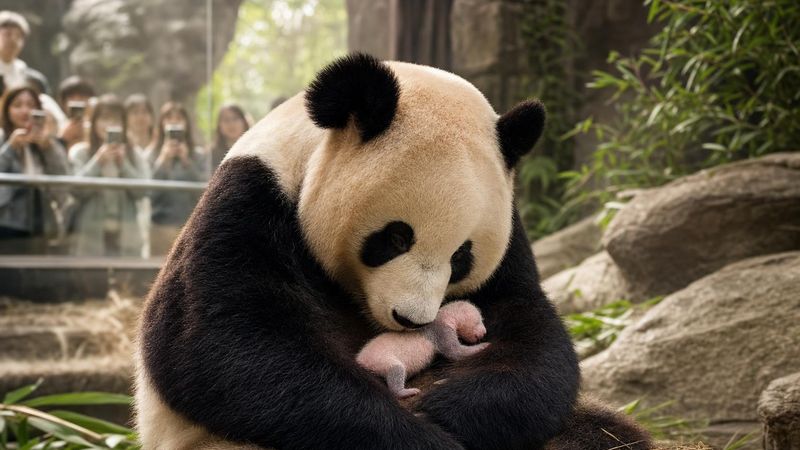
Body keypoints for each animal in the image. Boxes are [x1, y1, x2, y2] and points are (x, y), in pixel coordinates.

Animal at [134, 53, 651, 450]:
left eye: (461, 257)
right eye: (397, 238)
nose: (412, 320)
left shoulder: (512, 240)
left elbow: (530, 332)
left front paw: (449, 404)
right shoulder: (250, 203)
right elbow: (222, 347)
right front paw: (421, 434)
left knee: (598, 433)